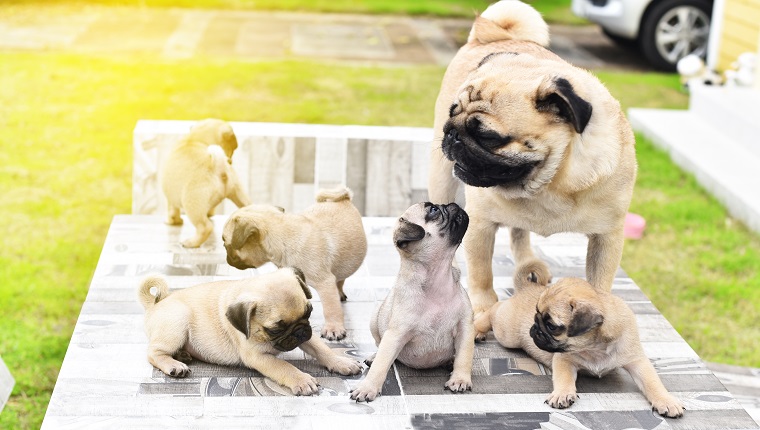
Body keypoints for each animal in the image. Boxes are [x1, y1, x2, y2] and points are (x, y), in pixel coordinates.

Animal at [160, 118, 249, 249]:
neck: (195, 139)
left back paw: (191, 242)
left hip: (192, 205)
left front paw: (172, 221)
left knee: (205, 227)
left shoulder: (171, 199)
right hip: (240, 195)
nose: (230, 160)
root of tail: (217, 166)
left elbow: (172, 211)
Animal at [221, 186, 366, 340]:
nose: (227, 258)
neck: (283, 236)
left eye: (226, 243)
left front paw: (333, 329)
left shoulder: (325, 283)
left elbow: (331, 308)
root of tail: (344, 199)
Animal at [352, 203, 476, 402]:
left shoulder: (465, 327)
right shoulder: (395, 335)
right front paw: (368, 387)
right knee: (380, 347)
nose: (453, 204)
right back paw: (374, 356)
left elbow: (464, 356)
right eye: (433, 210)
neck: (437, 279)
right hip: (374, 321)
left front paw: (460, 379)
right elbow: (381, 364)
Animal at [476, 260, 684, 418]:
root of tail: (528, 287)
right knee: (494, 309)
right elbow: (564, 378)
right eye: (537, 315)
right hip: (506, 333)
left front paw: (666, 401)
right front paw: (561, 394)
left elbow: (652, 382)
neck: (596, 348)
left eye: (551, 326)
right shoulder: (564, 360)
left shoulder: (637, 361)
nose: (535, 327)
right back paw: (478, 329)